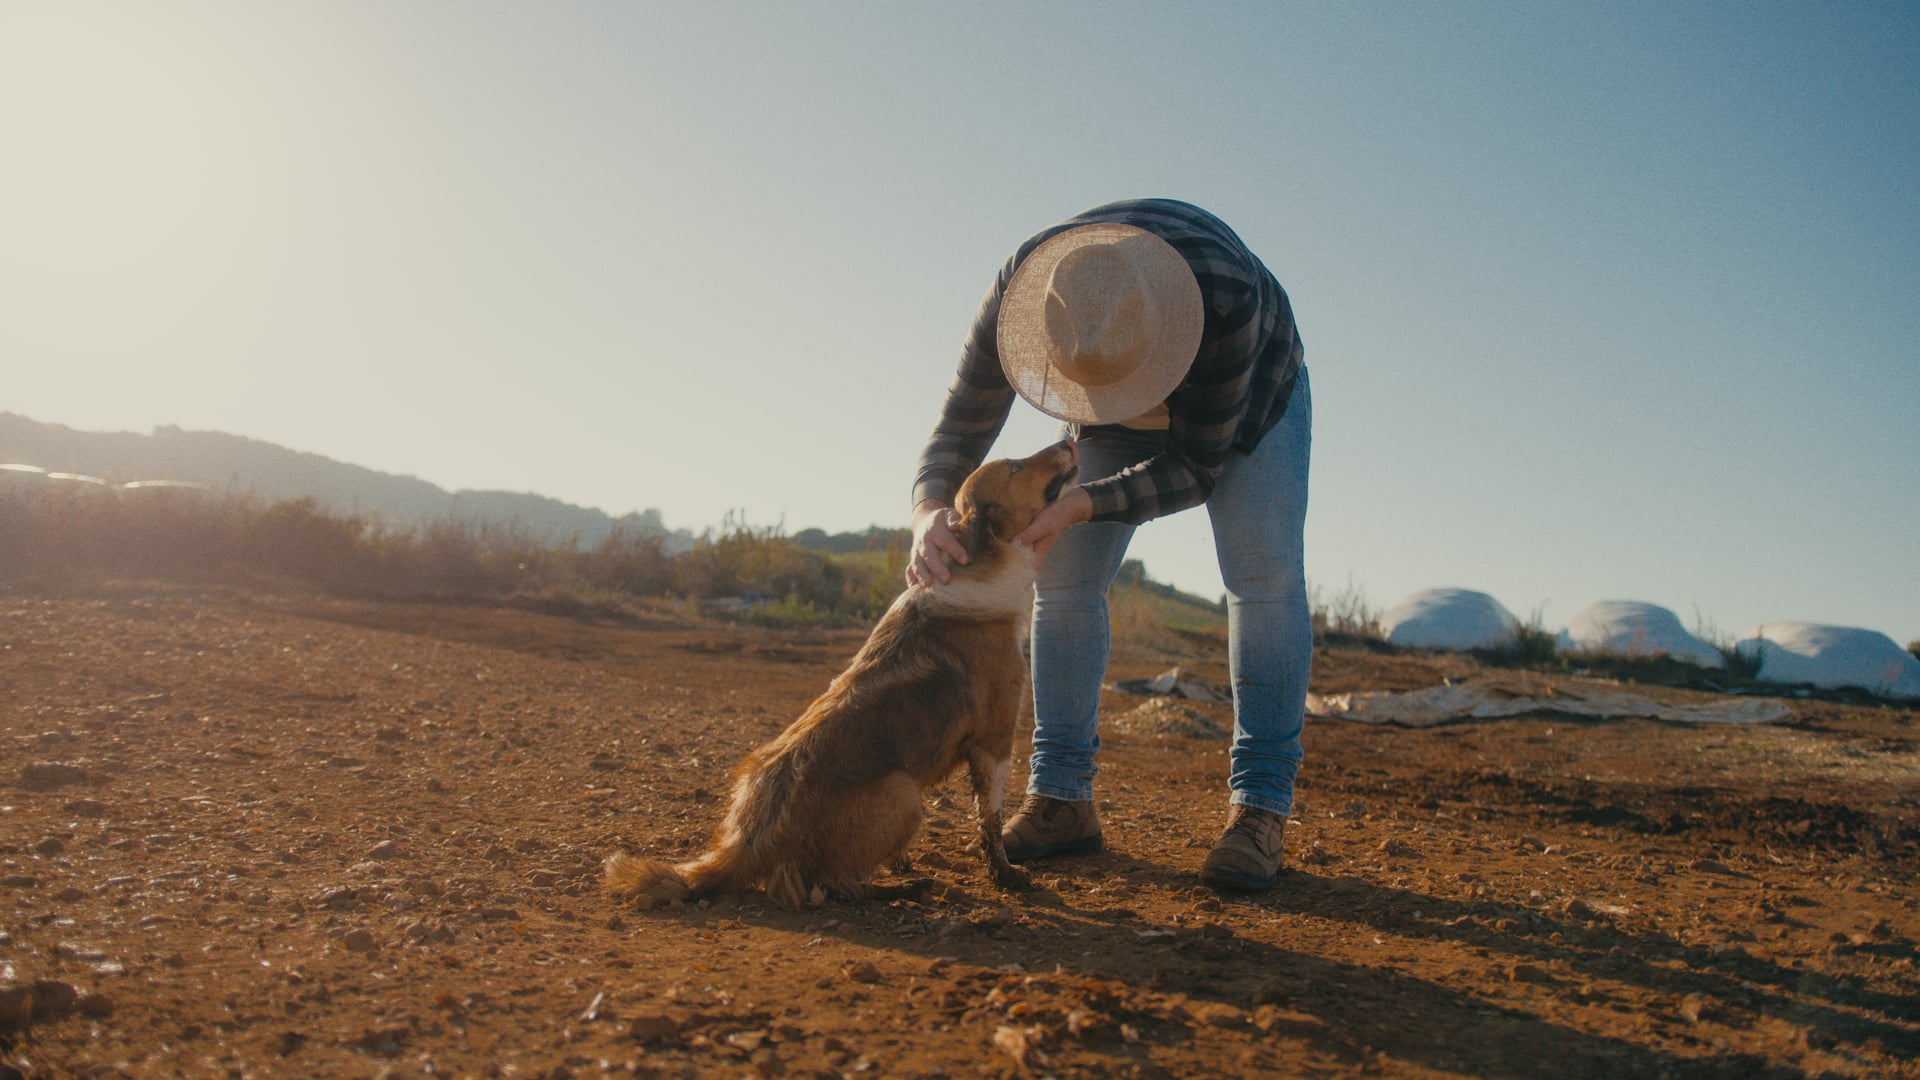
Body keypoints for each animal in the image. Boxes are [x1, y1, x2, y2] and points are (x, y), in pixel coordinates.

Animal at [602, 438, 1082, 899]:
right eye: (1015, 467)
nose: (1069, 442)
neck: (979, 564)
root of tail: (746, 846)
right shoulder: (994, 741)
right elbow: (989, 822)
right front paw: (1005, 876)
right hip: (903, 792)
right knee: (831, 885)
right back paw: (900, 888)